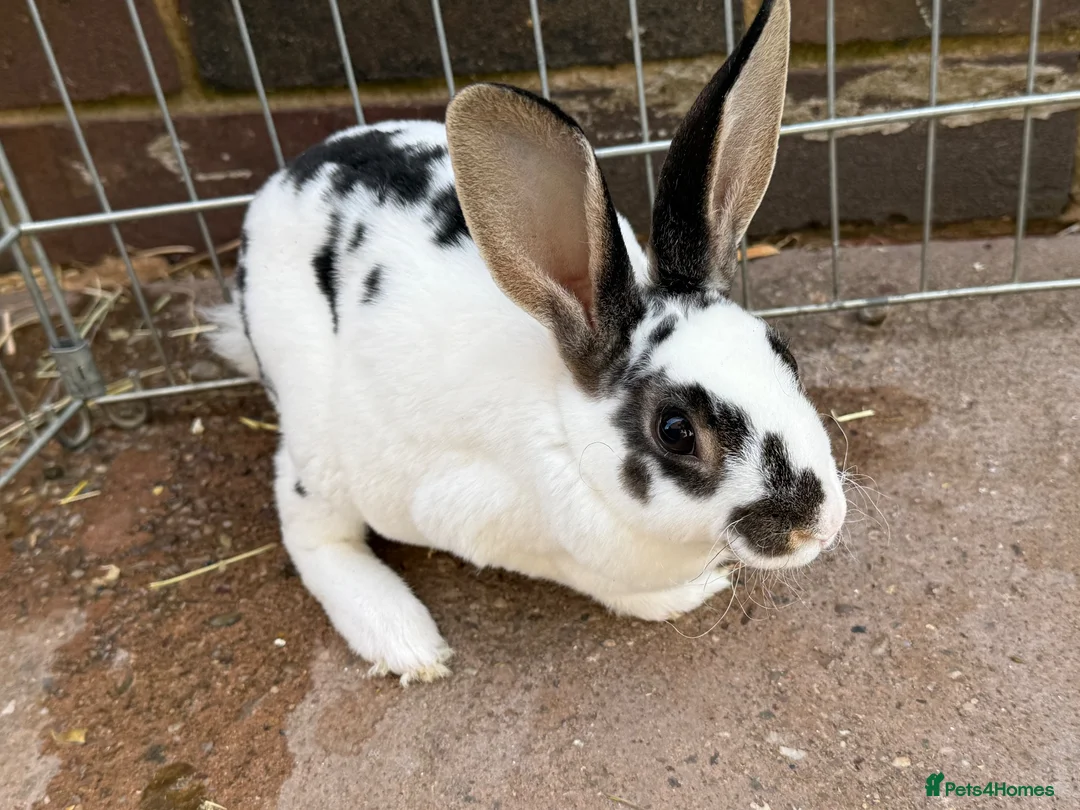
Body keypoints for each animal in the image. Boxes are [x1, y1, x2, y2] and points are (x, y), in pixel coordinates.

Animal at [207, 0, 846, 685]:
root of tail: (273, 191)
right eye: (675, 431)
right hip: (318, 443)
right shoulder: (474, 518)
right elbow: (597, 581)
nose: (820, 524)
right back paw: (403, 640)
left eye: (784, 354)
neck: (565, 431)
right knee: (307, 524)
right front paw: (688, 593)